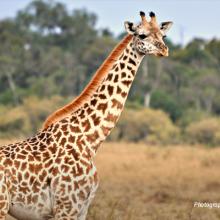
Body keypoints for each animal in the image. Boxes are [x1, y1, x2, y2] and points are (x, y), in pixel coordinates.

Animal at [0, 11, 172, 219]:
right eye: (142, 35)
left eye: (163, 36)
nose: (164, 50)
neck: (90, 140)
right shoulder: (66, 207)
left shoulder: (82, 208)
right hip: (2, 205)